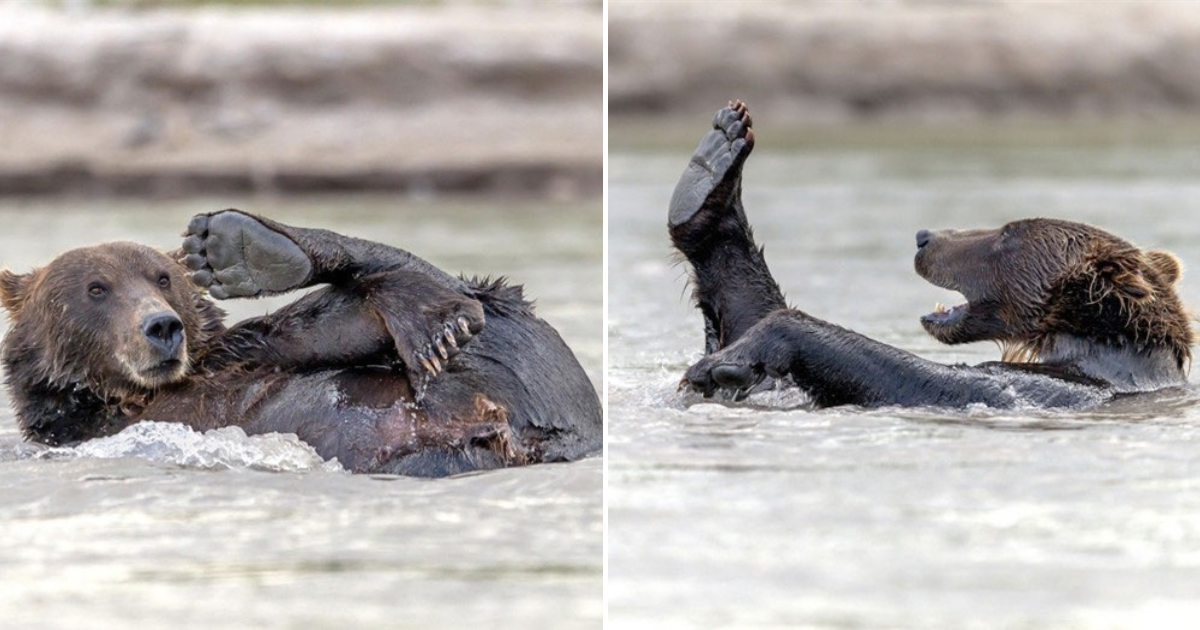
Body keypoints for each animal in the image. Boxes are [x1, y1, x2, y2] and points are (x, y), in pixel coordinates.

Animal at [0, 208, 600, 475]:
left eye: (161, 278)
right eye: (96, 288)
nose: (162, 326)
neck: (126, 396)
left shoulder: (229, 357)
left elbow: (313, 331)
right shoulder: (86, 427)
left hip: (523, 370)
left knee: (480, 304)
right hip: (460, 433)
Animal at [676, 102, 1190, 408]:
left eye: (1007, 234)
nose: (925, 236)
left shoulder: (1058, 388)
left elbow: (934, 380)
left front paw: (724, 364)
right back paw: (711, 168)